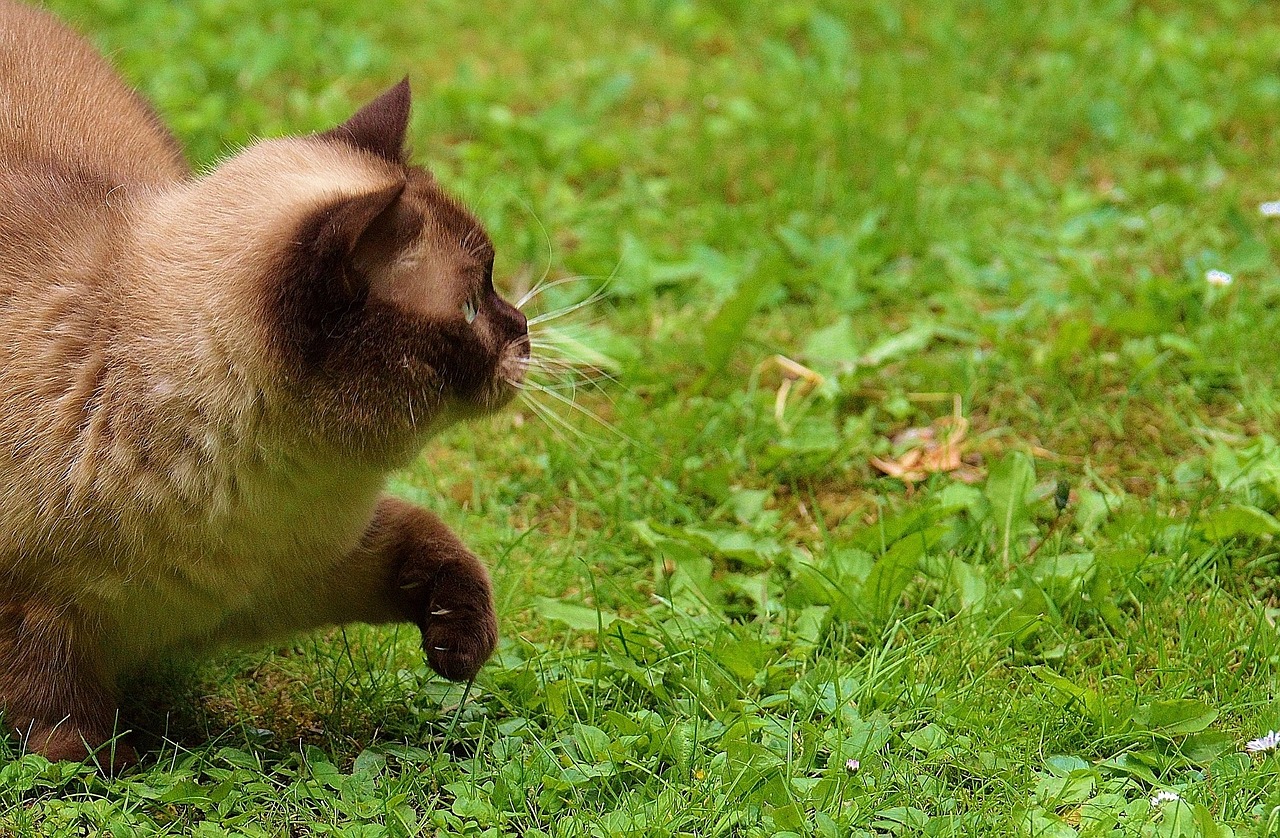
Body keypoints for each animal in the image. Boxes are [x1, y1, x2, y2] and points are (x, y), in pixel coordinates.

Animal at [0, 0, 527, 767]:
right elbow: (65, 738)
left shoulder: (304, 568)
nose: (524, 330)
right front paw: (121, 772)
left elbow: (432, 543)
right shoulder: (35, 614)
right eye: (469, 307)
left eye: (493, 285)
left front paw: (459, 653)